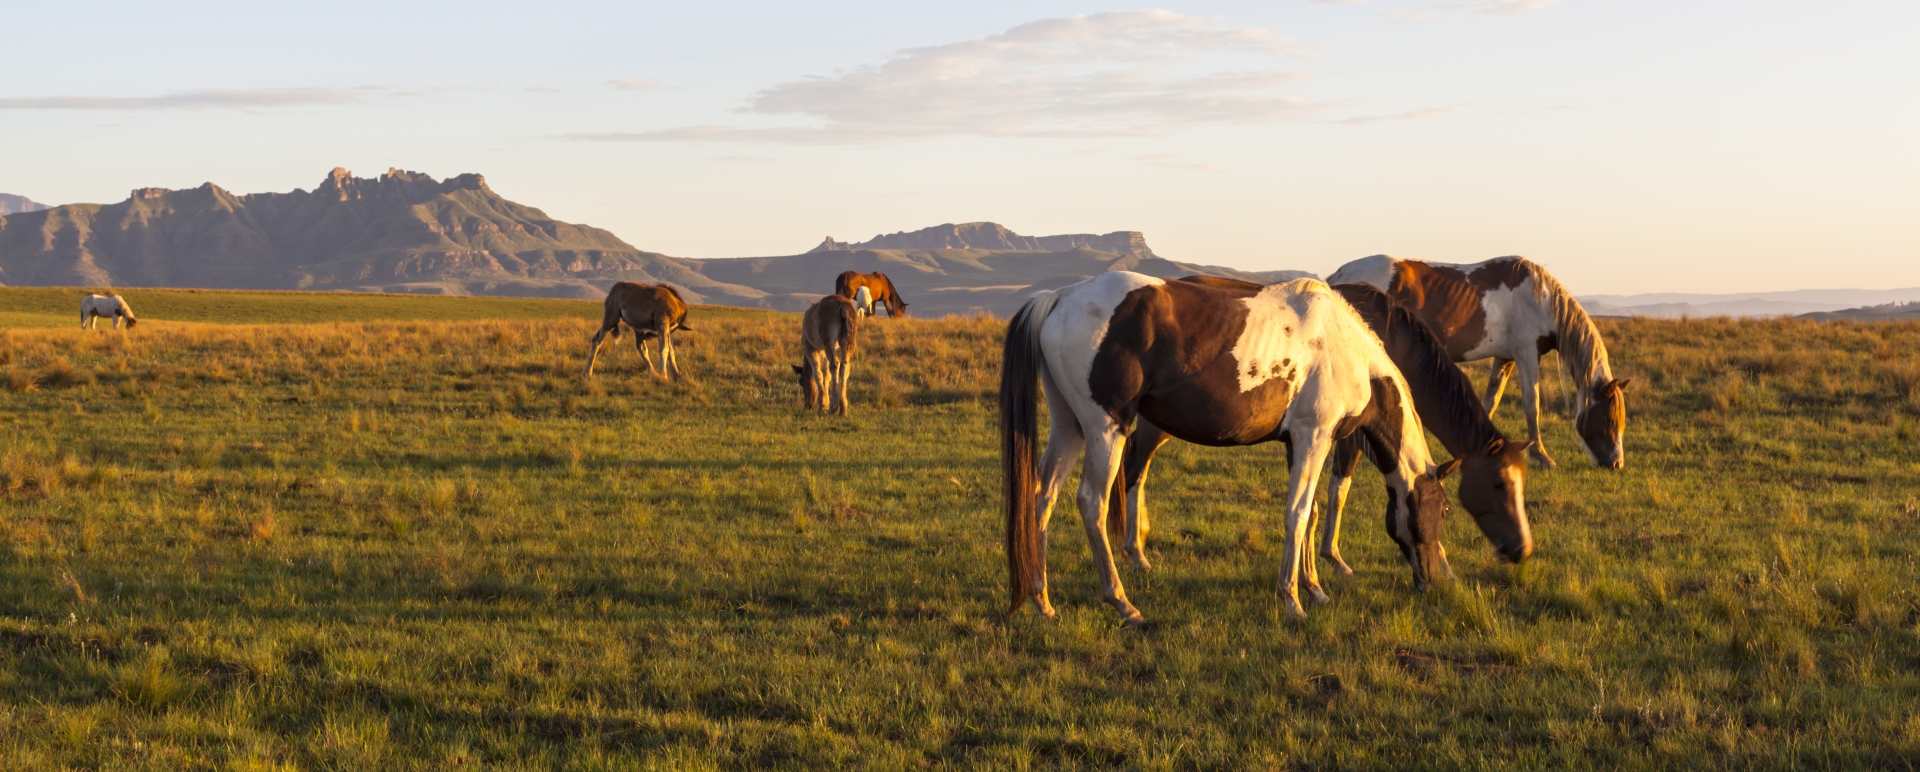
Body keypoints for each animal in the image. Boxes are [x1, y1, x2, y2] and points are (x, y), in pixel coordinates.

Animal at [1002, 271, 1457, 624]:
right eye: (1443, 511)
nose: (1436, 579)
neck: (1344, 351)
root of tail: (1061, 298)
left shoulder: (1300, 444)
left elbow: (1309, 515)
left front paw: (1314, 588)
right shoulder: (1314, 438)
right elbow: (1296, 514)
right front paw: (1292, 600)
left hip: (1070, 427)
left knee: (1043, 498)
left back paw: (1042, 601)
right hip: (1105, 429)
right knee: (1091, 502)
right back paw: (1123, 603)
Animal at [1114, 276, 1533, 580]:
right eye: (1499, 484)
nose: (1523, 549)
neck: (1383, 337)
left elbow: (1316, 503)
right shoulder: (1347, 437)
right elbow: (1337, 492)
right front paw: (1333, 559)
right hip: (1155, 425)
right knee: (1134, 469)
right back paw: (1135, 550)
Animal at [1328, 255, 1629, 469]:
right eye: (1609, 419)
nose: (1616, 464)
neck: (1539, 298)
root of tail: (1339, 276)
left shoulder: (1505, 357)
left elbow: (1491, 400)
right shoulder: (1526, 354)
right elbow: (1532, 406)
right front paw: (1542, 456)